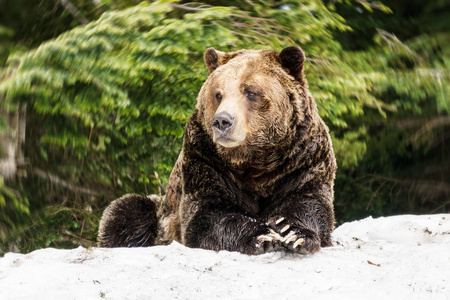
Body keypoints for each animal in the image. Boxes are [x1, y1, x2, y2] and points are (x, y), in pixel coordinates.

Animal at [99, 45, 338, 254]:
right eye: (218, 94)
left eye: (251, 92)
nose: (222, 121)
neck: (255, 160)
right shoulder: (205, 160)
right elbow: (208, 214)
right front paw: (263, 236)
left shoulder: (302, 160)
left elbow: (310, 203)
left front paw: (290, 231)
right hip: (161, 212)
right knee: (125, 211)